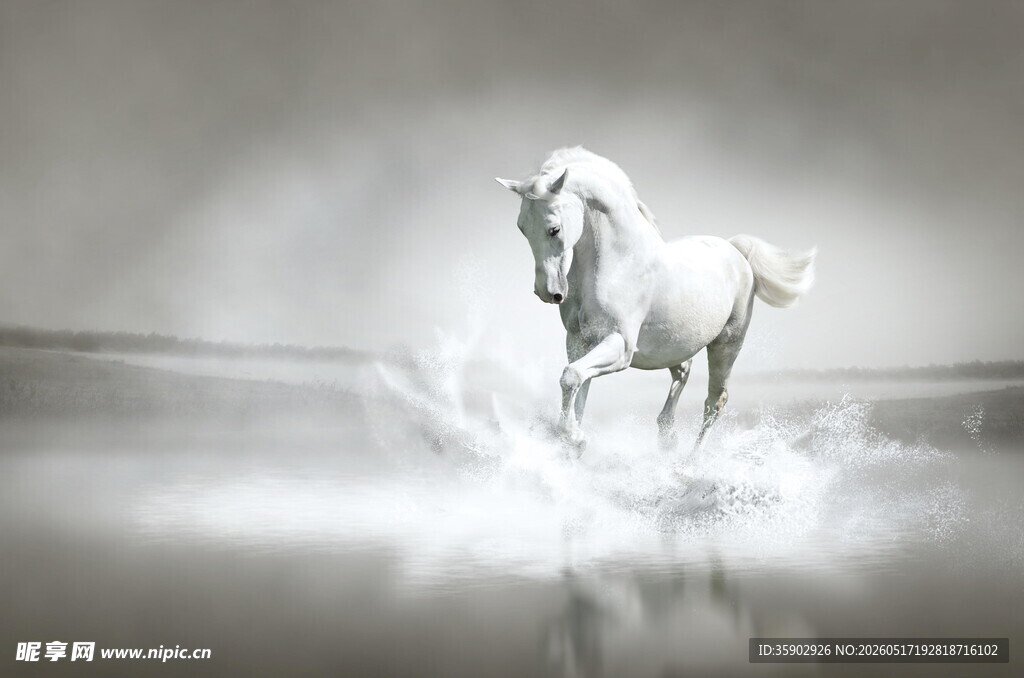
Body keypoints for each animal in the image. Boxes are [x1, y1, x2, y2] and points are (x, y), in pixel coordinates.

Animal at [496, 147, 816, 451]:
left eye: (554, 229)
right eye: (522, 228)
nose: (548, 292)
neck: (619, 263)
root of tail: (735, 250)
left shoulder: (620, 346)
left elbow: (572, 377)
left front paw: (574, 439)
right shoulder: (579, 342)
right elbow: (577, 387)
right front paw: (572, 441)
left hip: (727, 344)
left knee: (714, 402)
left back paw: (690, 461)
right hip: (675, 345)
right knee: (683, 373)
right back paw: (667, 437)